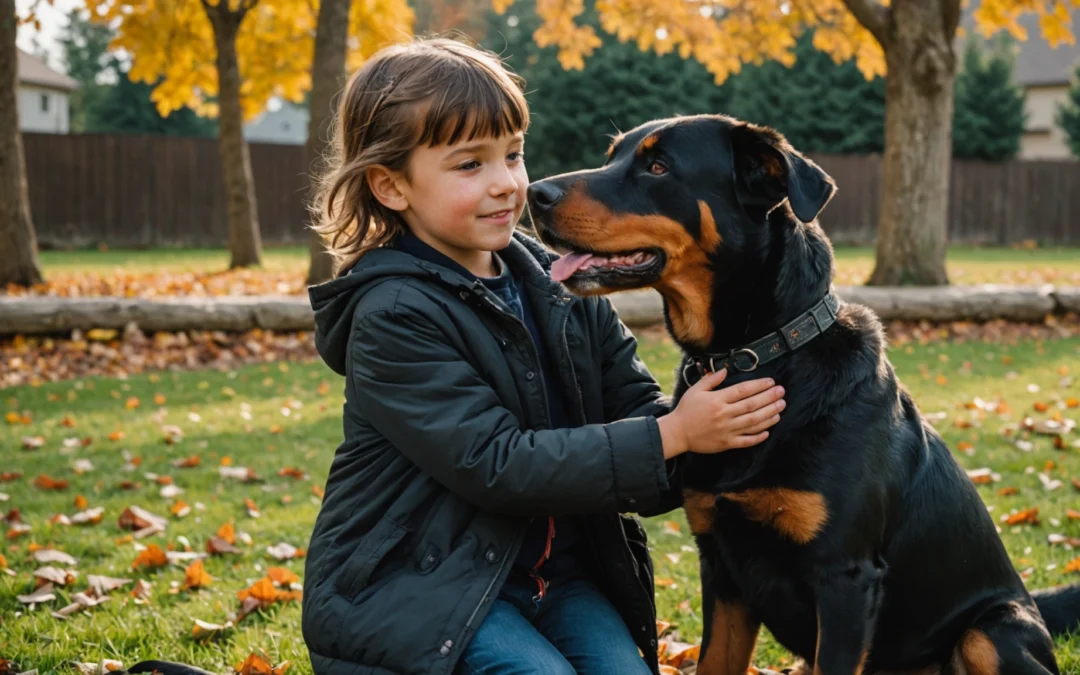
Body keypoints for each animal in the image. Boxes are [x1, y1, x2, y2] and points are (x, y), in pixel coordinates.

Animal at [527, 113, 1080, 669]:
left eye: (658, 167)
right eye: (613, 156)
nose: (535, 192)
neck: (753, 355)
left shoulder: (845, 578)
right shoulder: (721, 566)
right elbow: (714, 661)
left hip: (988, 633)